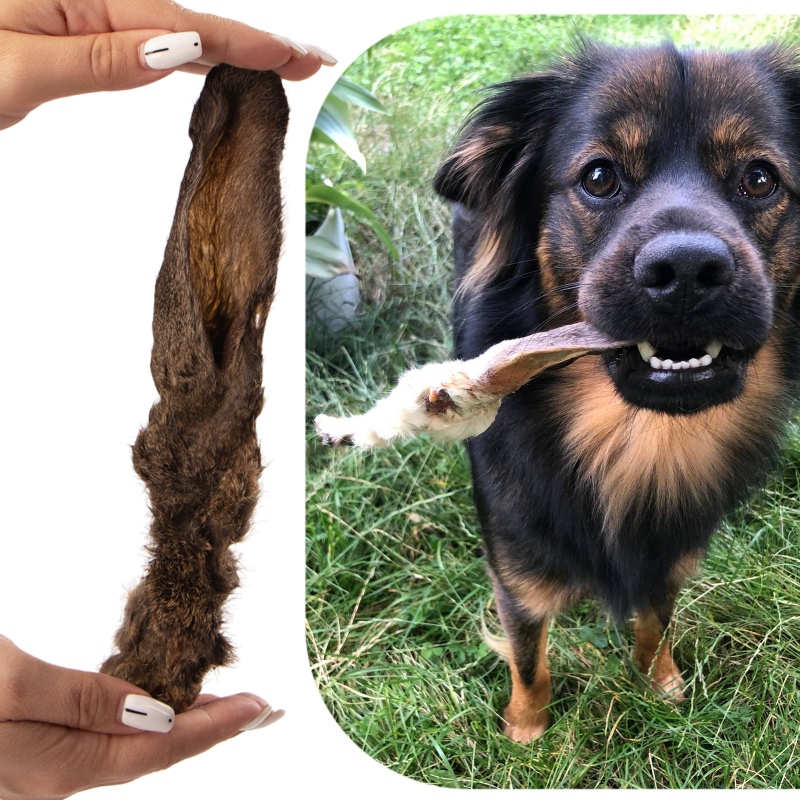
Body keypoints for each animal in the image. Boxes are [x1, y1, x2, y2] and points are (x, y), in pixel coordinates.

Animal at [434, 42, 800, 744]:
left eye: (761, 179)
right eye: (600, 177)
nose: (686, 271)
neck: (637, 437)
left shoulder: (671, 555)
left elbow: (655, 622)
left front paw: (661, 685)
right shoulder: (517, 575)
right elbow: (529, 659)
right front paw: (528, 732)